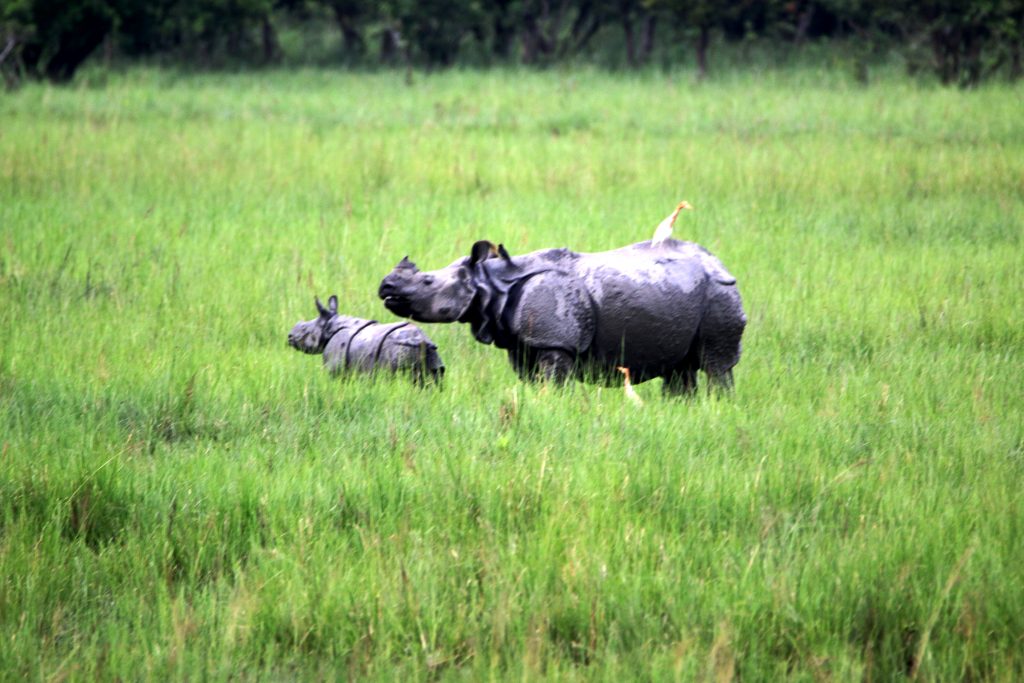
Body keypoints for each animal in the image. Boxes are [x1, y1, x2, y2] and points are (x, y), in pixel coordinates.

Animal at [290, 294, 446, 385]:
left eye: (304, 330)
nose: (289, 336)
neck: (330, 325)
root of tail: (423, 340)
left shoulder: (335, 366)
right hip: (429, 354)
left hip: (397, 351)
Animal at [376, 239, 745, 395]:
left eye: (427, 282)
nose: (385, 286)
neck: (491, 283)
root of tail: (720, 262)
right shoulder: (525, 344)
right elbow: (534, 382)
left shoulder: (555, 343)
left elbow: (553, 383)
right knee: (680, 369)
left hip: (719, 292)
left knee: (716, 365)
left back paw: (718, 405)